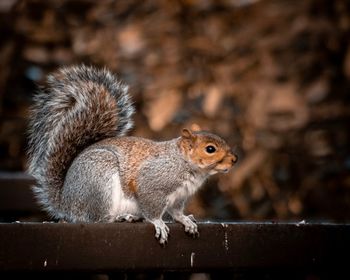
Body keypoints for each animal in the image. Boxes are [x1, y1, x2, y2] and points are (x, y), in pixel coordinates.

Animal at [26, 64, 237, 244]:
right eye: (210, 149)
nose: (234, 159)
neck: (184, 163)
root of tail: (65, 202)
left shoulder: (179, 197)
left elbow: (176, 212)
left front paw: (186, 220)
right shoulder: (152, 183)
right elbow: (152, 207)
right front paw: (158, 223)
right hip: (99, 181)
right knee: (98, 219)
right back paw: (121, 217)